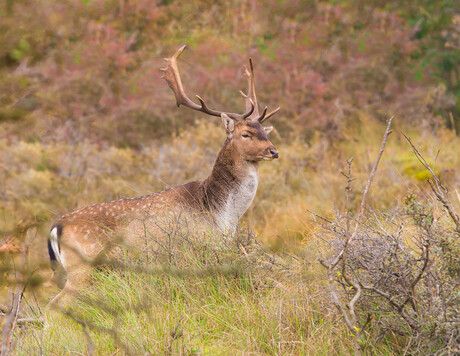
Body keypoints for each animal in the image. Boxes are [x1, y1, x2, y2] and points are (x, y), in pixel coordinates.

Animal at [49, 43, 280, 300]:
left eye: (265, 131)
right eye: (246, 134)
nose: (273, 151)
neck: (222, 213)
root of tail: (56, 227)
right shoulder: (199, 245)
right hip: (83, 264)